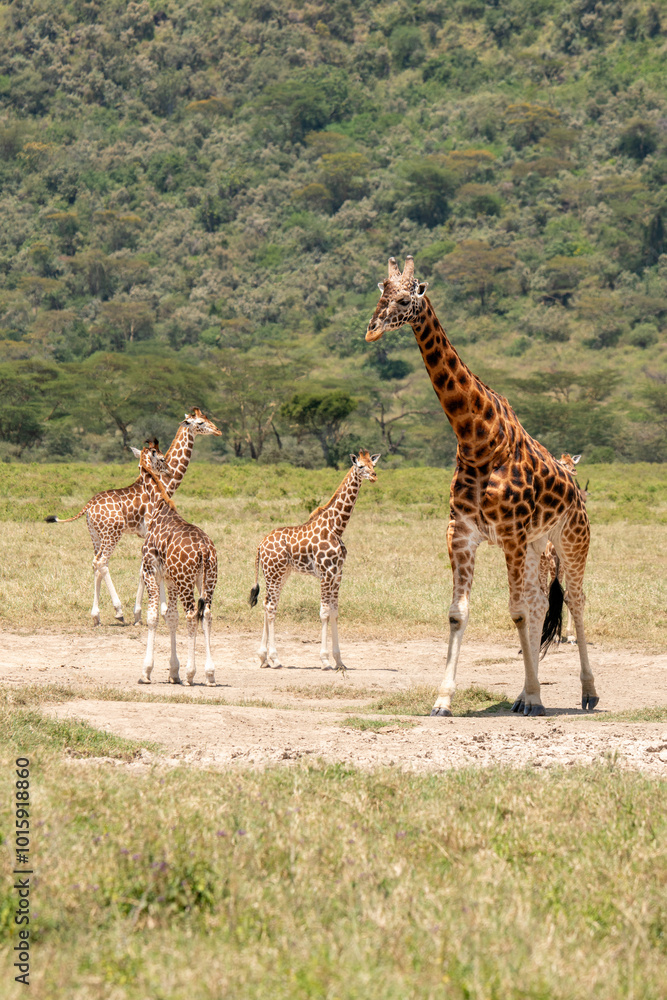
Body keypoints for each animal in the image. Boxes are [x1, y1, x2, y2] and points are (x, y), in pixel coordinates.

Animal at [45, 408, 221, 626]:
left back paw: (96, 615)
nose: (218, 430)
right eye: (200, 423)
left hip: (95, 534)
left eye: (207, 418)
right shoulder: (148, 533)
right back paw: (118, 611)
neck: (165, 484)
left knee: (96, 563)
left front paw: (146, 612)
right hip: (112, 533)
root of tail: (88, 506)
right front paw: (151, 611)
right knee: (101, 562)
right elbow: (145, 571)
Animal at [137, 444, 218, 686]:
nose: (169, 471)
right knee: (207, 614)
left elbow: (153, 616)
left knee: (192, 615)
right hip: (208, 580)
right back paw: (210, 674)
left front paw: (146, 672)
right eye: (162, 459)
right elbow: (171, 617)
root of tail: (204, 549)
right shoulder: (169, 579)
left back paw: (192, 674)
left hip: (186, 581)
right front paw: (173, 672)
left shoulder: (151, 571)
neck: (158, 507)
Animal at [248, 450, 380, 671]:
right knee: (272, 607)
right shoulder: (326, 574)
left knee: (267, 604)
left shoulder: (337, 574)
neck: (336, 527)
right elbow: (324, 613)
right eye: (360, 466)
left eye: (373, 464)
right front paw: (325, 660)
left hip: (279, 574)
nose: (374, 476)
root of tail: (260, 545)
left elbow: (334, 612)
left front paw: (340, 661)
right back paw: (275, 658)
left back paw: (263, 658)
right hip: (274, 574)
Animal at [366, 256, 598, 716]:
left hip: (570, 540)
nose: (372, 329)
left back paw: (586, 692)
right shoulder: (463, 533)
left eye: (404, 299)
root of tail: (577, 492)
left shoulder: (509, 534)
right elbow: (459, 613)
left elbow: (518, 612)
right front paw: (443, 699)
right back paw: (525, 692)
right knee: (541, 601)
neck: (476, 437)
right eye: (380, 294)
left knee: (575, 601)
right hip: (536, 545)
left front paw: (535, 698)